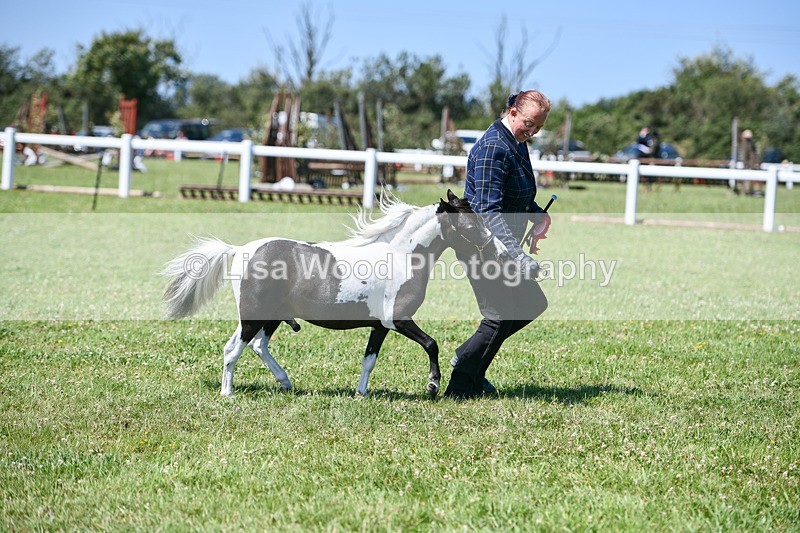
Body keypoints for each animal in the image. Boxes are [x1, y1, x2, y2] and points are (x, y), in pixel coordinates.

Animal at [160, 190, 510, 398]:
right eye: (470, 225)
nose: (501, 251)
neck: (401, 256)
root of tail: (241, 249)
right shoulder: (397, 320)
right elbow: (432, 344)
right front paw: (433, 384)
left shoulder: (380, 326)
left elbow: (369, 360)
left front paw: (361, 393)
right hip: (253, 316)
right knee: (234, 349)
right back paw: (228, 393)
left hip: (268, 317)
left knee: (253, 346)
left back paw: (284, 382)